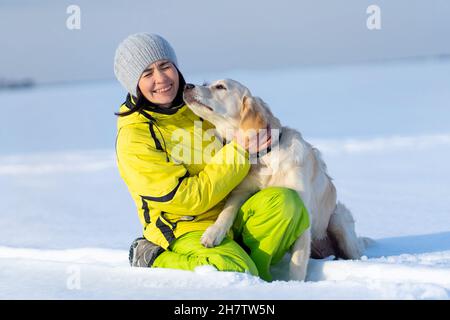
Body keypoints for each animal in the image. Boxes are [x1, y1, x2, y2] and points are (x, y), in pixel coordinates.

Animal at [183, 79, 370, 280]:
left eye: (220, 87)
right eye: (206, 83)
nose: (187, 86)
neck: (266, 156)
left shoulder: (305, 213)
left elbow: (298, 263)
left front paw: (293, 284)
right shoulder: (241, 191)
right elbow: (227, 212)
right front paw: (213, 233)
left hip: (338, 220)